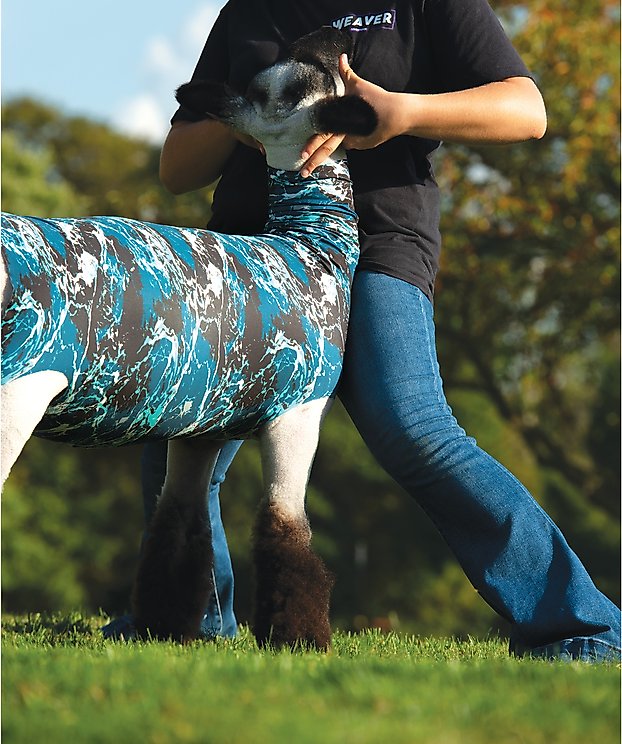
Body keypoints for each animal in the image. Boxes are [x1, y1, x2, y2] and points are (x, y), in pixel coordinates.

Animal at [0, 27, 377, 648]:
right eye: (307, 73)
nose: (337, 36)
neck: (312, 244)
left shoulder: (200, 425)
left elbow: (177, 528)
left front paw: (163, 627)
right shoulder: (300, 413)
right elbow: (285, 530)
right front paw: (300, 638)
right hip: (19, 388)